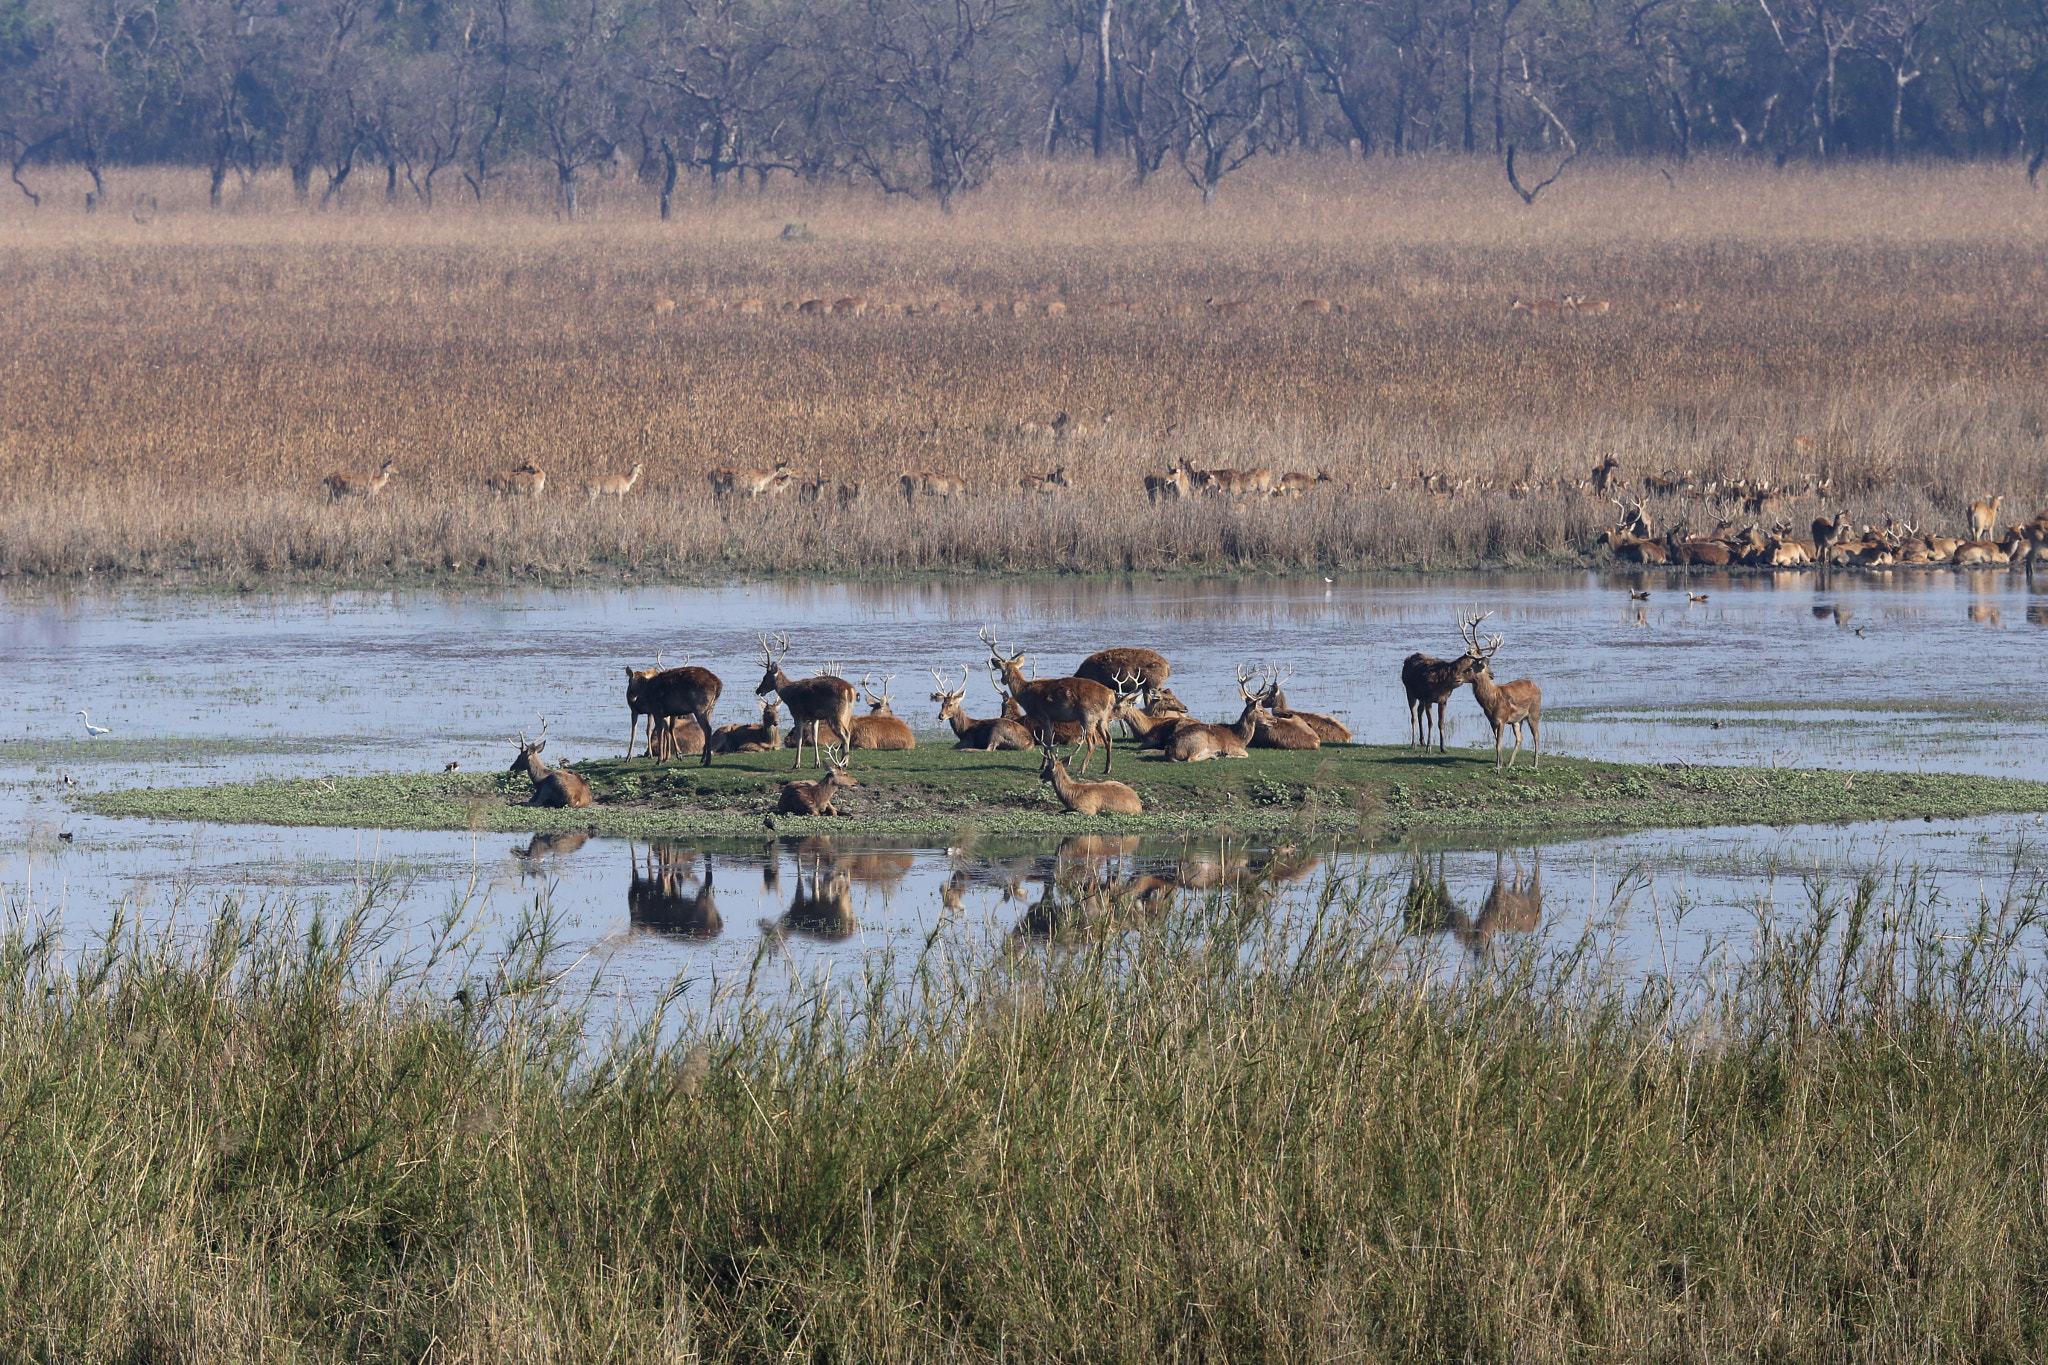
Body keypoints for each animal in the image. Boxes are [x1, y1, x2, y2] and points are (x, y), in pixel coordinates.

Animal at [753, 634, 856, 769]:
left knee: (845, 734)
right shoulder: (814, 717)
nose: (758, 690)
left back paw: (844, 762)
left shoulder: (797, 713)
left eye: (765, 677)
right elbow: (815, 737)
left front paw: (796, 764)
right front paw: (817, 763)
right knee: (848, 732)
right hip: (847, 713)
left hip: (836, 713)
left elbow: (799, 738)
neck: (788, 694)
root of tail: (850, 690)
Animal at [983, 626, 1130, 773]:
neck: (1025, 694)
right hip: (1102, 718)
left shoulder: (1042, 715)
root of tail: (1110, 694)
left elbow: (1047, 741)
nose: (1002, 680)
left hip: (1088, 715)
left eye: (1003, 670)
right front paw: (1046, 763)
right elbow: (1048, 741)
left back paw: (1082, 768)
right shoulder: (1052, 718)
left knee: (1092, 742)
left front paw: (1046, 764)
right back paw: (1107, 768)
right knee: (1109, 738)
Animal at [1466, 613, 1540, 773]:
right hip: (1518, 719)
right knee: (1520, 737)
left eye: (1470, 668)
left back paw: (1535, 764)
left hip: (1534, 712)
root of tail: (1536, 686)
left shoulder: (1502, 719)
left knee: (1536, 736)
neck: (1491, 701)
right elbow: (1496, 743)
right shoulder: (1492, 720)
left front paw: (1498, 766)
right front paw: (1499, 763)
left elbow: (1499, 743)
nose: (1492, 674)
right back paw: (1510, 763)